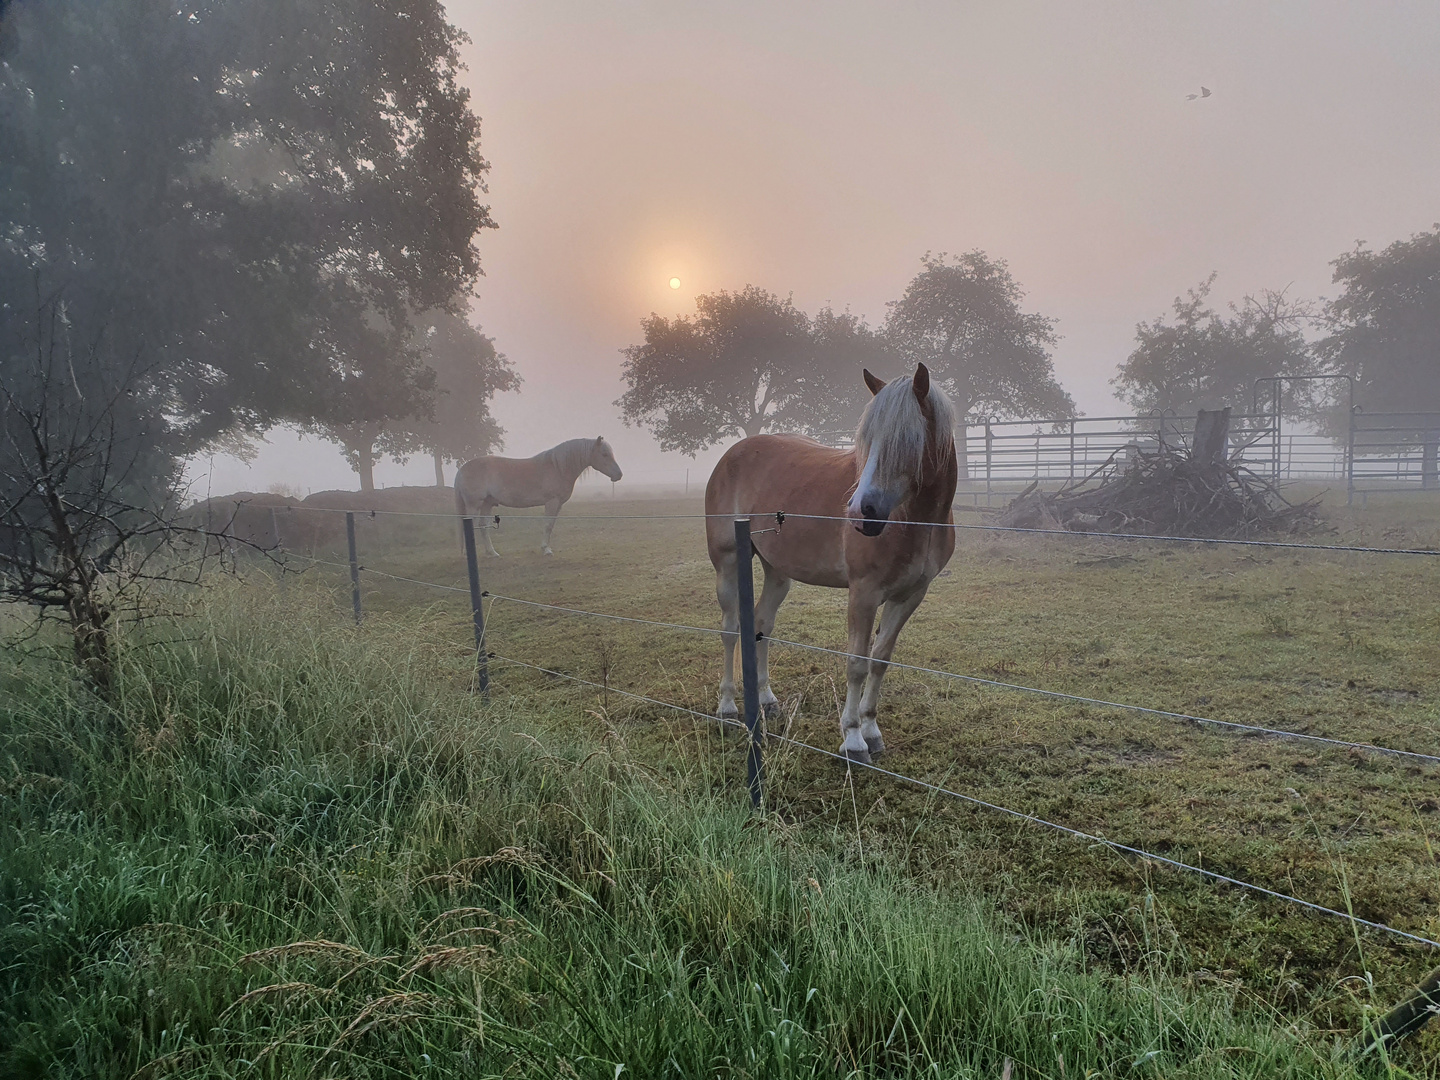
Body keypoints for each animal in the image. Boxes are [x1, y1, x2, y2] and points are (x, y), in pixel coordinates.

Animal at [455, 437, 624, 558]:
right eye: (604, 454)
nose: (619, 475)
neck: (557, 467)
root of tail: (462, 469)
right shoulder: (551, 502)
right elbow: (547, 525)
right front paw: (546, 550)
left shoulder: (558, 504)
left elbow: (551, 525)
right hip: (474, 505)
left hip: (487, 504)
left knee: (483, 526)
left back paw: (492, 553)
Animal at [705, 368, 956, 766]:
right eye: (867, 440)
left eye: (907, 440)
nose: (861, 512)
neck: (917, 522)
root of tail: (731, 454)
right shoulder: (864, 594)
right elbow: (857, 663)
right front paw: (853, 739)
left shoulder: (910, 596)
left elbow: (880, 660)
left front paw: (872, 730)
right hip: (727, 563)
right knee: (731, 630)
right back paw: (728, 707)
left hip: (778, 572)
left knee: (761, 624)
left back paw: (766, 700)